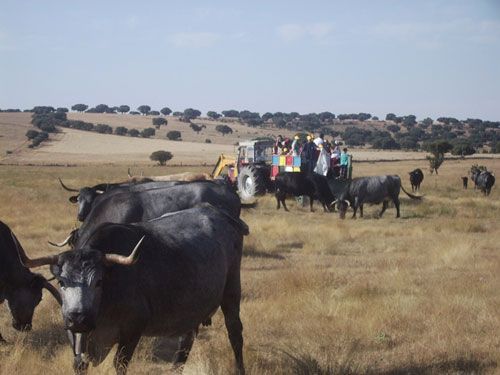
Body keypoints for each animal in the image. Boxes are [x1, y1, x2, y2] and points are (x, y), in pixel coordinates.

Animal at [16, 206, 247, 375]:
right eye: (62, 282)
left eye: (98, 281)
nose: (78, 318)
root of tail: (219, 213)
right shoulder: (74, 335)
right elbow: (79, 363)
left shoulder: (133, 328)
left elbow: (120, 364)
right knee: (186, 340)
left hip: (232, 290)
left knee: (235, 332)